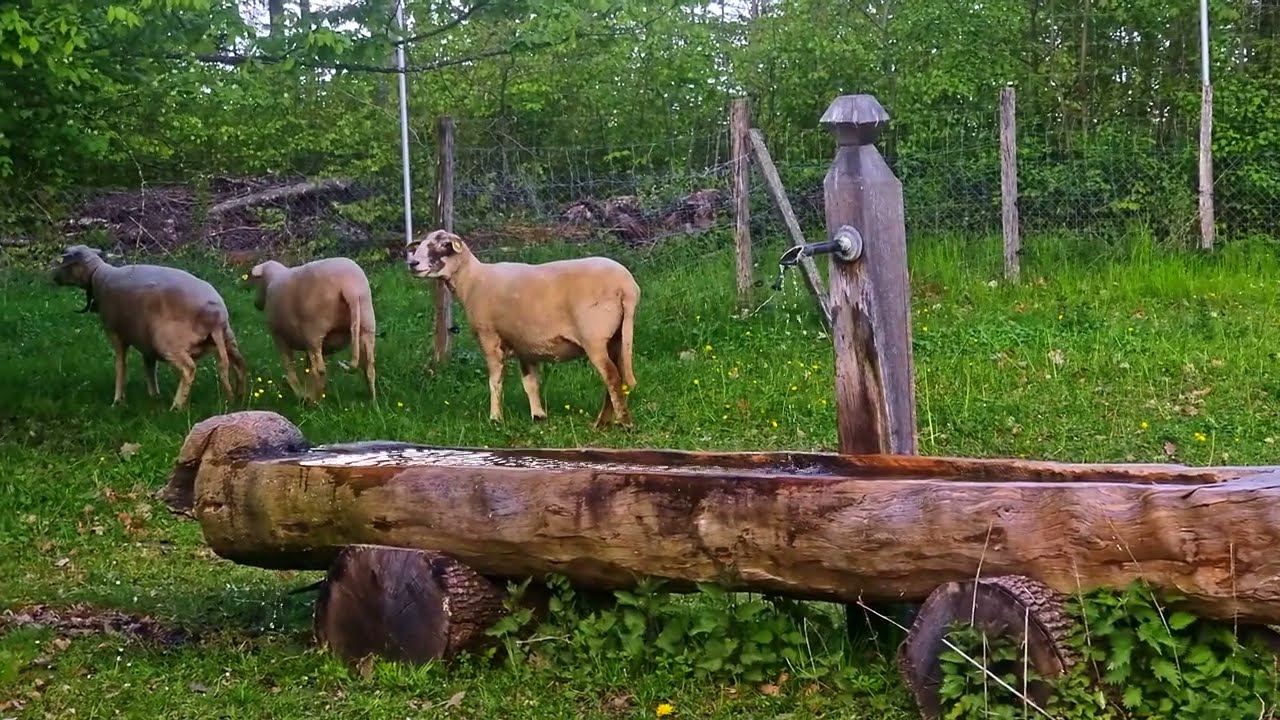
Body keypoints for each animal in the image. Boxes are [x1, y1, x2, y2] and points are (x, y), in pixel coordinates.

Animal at [50, 244, 248, 410]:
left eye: (64, 261)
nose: (53, 277)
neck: (98, 275)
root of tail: (215, 316)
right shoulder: (145, 340)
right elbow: (149, 367)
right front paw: (154, 396)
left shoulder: (116, 333)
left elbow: (121, 366)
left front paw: (117, 401)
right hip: (228, 338)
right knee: (239, 364)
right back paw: (238, 397)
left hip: (167, 341)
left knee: (189, 369)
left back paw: (177, 407)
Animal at [246, 256, 377, 403]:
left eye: (257, 281)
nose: (256, 304)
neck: (271, 279)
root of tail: (351, 289)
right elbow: (306, 368)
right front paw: (305, 391)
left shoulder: (279, 336)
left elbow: (289, 366)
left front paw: (299, 392)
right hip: (367, 324)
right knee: (369, 366)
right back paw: (372, 401)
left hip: (314, 331)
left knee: (319, 370)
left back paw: (312, 401)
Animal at [405, 229, 639, 428]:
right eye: (421, 244)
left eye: (444, 245)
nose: (412, 263)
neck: (472, 280)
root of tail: (627, 287)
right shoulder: (525, 345)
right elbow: (530, 383)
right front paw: (538, 416)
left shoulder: (489, 337)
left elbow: (495, 380)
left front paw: (495, 418)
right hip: (617, 336)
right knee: (616, 377)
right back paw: (604, 422)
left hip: (594, 337)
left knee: (612, 377)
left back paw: (623, 424)